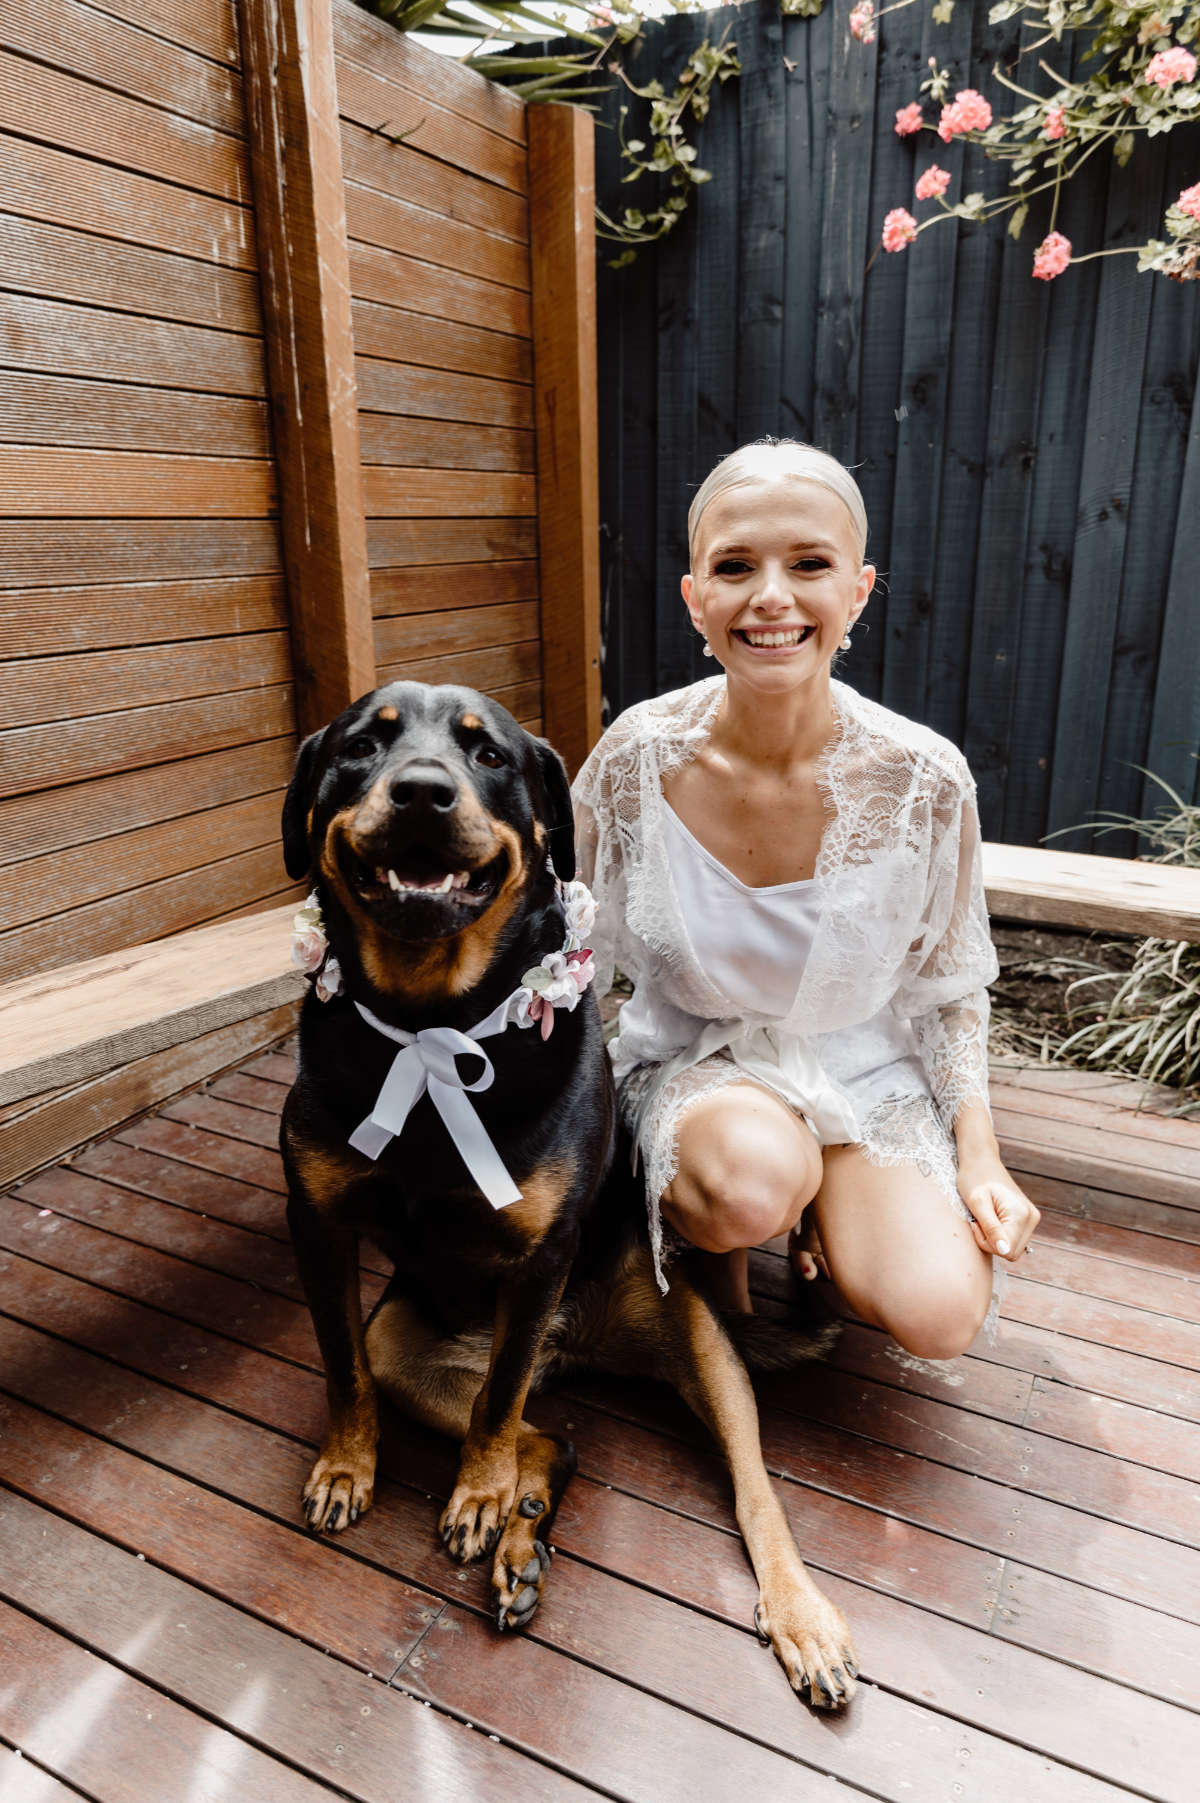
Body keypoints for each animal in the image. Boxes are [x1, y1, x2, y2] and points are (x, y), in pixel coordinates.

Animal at [281, 677, 854, 1702]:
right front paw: (349, 1468)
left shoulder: (540, 1253)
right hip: (407, 1345)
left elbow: (499, 1404)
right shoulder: (316, 1220)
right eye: (361, 746)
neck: (433, 1020)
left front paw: (477, 1492)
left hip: (695, 1336)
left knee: (749, 1488)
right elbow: (347, 1371)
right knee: (548, 1436)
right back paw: (523, 1541)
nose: (422, 792)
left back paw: (795, 1612)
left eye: (488, 755)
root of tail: (581, 1344)